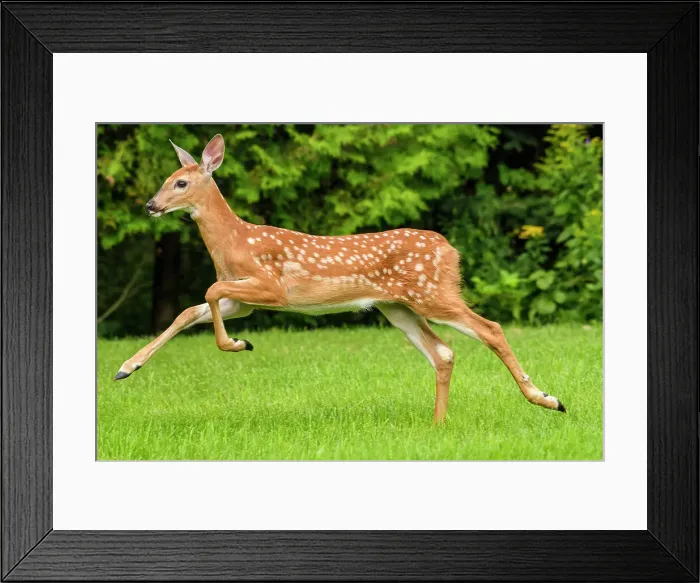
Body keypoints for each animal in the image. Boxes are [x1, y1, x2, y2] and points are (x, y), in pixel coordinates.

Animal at [113, 134, 566, 422]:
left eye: (180, 182)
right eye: (164, 180)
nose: (151, 205)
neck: (234, 243)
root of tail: (450, 250)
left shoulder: (273, 286)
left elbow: (208, 290)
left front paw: (238, 344)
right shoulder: (240, 301)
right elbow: (189, 311)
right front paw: (126, 367)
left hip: (430, 293)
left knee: (490, 328)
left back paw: (547, 399)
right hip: (397, 307)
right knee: (443, 352)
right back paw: (439, 424)